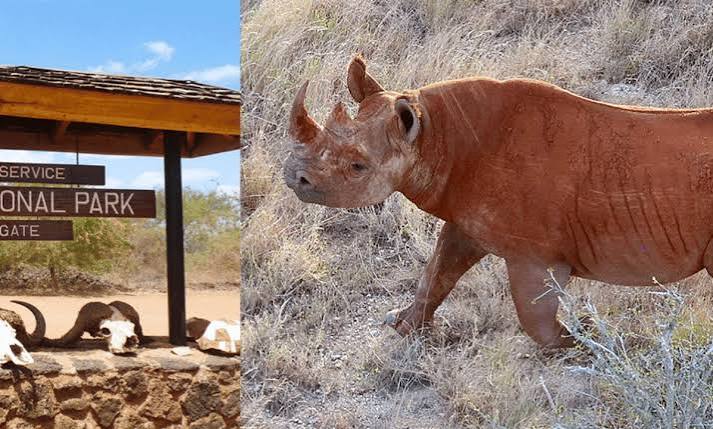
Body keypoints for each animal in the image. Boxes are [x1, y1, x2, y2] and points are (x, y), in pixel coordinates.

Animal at [284, 55, 713, 348]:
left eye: (357, 167)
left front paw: (589, 343)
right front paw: (403, 325)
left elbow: (533, 317)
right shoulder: (466, 221)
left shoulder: (535, 254)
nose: (293, 177)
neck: (435, 137)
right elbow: (436, 274)